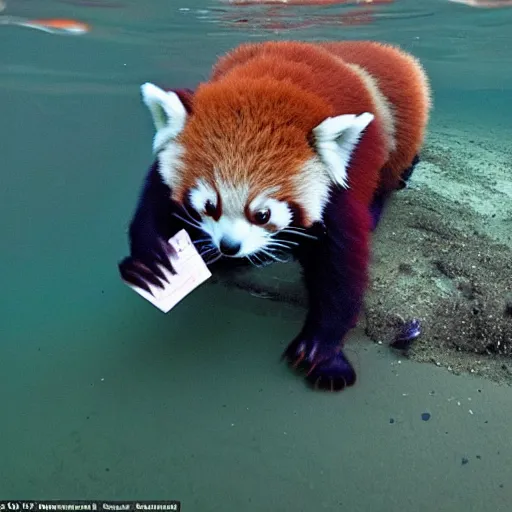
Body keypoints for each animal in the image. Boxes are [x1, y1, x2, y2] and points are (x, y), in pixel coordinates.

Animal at [120, 40, 432, 392]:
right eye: (209, 206)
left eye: (263, 214)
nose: (229, 246)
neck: (271, 83)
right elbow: (155, 201)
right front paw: (149, 258)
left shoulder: (341, 187)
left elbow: (339, 268)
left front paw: (322, 350)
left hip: (399, 140)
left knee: (390, 177)